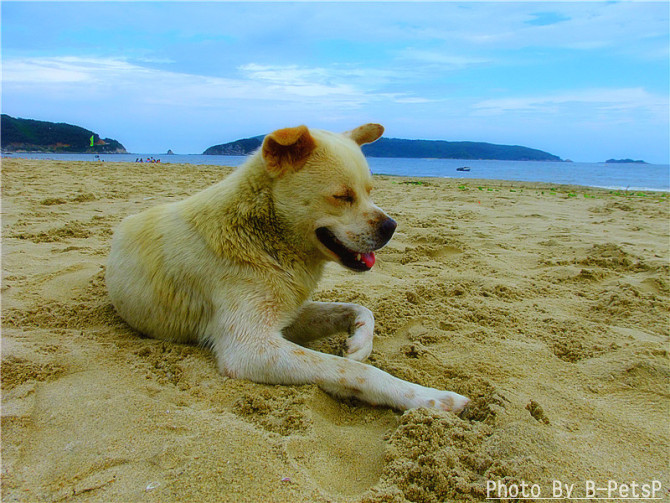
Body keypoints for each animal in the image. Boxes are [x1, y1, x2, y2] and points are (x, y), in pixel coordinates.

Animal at [106, 123, 472, 414]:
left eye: (370, 191)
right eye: (342, 196)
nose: (391, 227)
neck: (262, 238)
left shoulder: (289, 312)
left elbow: (359, 309)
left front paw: (358, 345)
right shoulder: (249, 347)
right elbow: (352, 371)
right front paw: (431, 399)